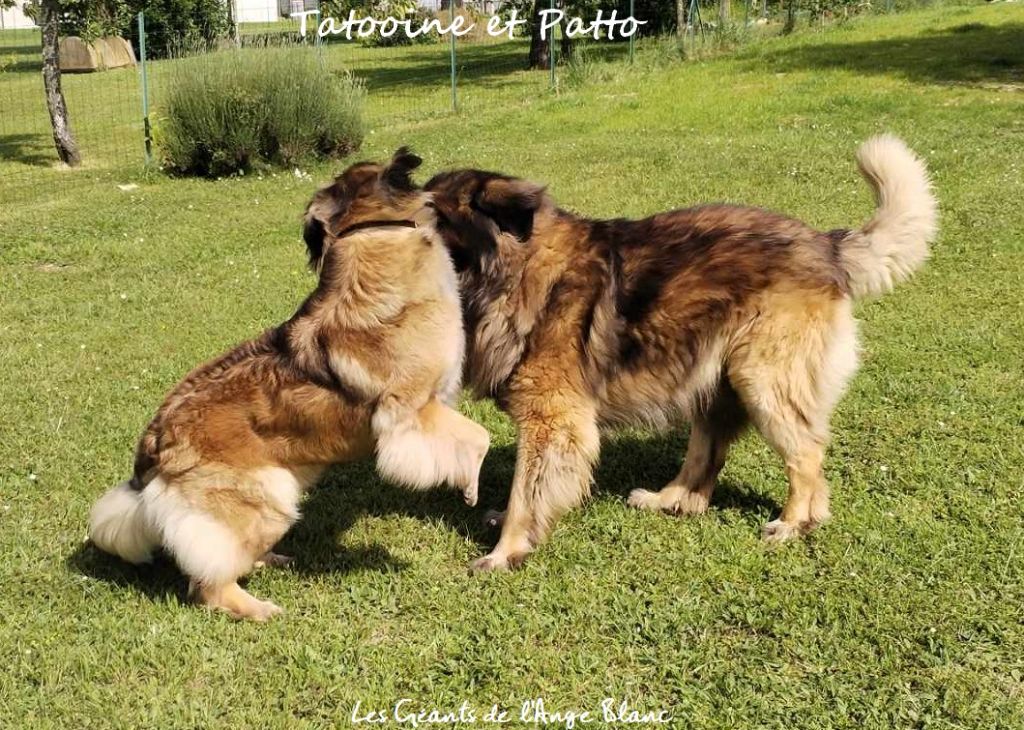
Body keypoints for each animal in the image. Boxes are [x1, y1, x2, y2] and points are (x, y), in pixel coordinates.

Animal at [88, 150, 487, 618]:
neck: (372, 235)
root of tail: (155, 438)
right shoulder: (408, 412)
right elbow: (477, 438)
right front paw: (469, 490)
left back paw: (268, 561)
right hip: (266, 498)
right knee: (205, 586)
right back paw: (258, 608)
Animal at [423, 135, 937, 569]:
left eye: (437, 220)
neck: (517, 273)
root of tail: (825, 245)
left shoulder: (553, 422)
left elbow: (526, 492)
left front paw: (505, 551)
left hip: (762, 378)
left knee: (805, 452)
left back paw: (793, 523)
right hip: (714, 377)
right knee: (706, 457)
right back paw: (668, 500)